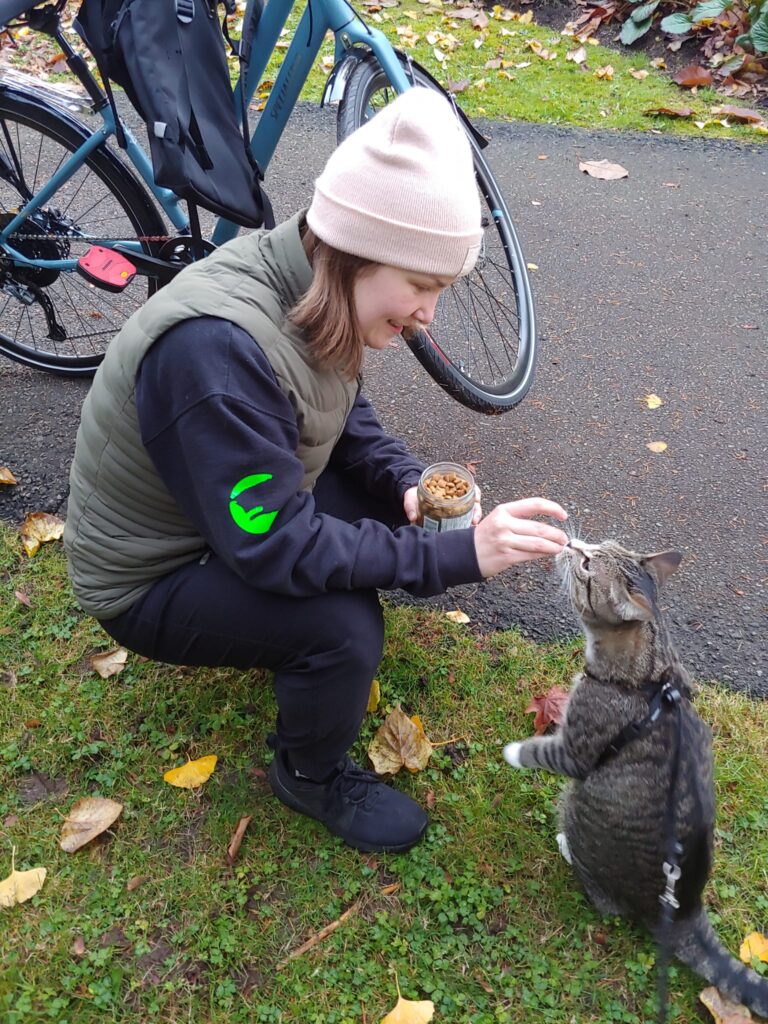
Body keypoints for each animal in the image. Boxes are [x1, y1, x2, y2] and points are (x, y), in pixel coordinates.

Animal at [505, 536, 768, 1015]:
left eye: (587, 563)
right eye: (594, 546)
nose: (571, 541)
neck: (649, 674)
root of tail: (684, 910)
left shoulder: (576, 752)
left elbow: (541, 749)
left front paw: (513, 751)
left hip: (577, 802)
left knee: (603, 898)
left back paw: (566, 847)